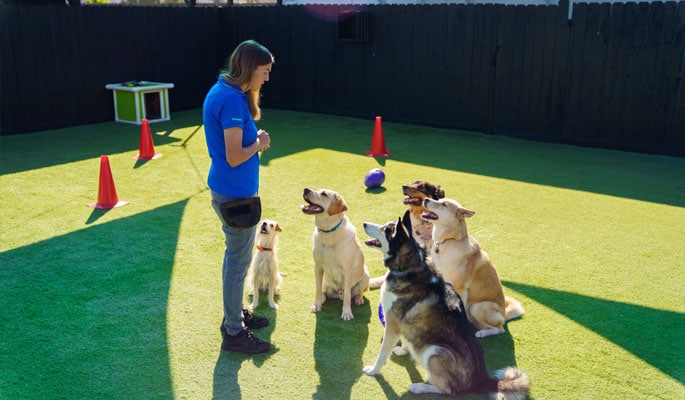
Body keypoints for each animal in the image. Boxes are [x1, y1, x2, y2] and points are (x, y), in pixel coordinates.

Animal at [302, 187, 372, 318]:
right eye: (317, 189)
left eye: (324, 194)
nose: (305, 189)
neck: (328, 231)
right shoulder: (317, 267)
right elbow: (317, 290)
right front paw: (317, 305)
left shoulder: (347, 270)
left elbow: (347, 296)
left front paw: (347, 312)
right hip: (325, 281)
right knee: (323, 292)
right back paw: (323, 299)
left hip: (365, 275)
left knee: (356, 293)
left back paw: (358, 299)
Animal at [422, 197, 524, 338]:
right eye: (438, 199)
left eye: (444, 204)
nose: (426, 199)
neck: (449, 240)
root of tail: (504, 315)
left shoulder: (460, 288)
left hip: (478, 307)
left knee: (499, 329)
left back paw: (482, 333)